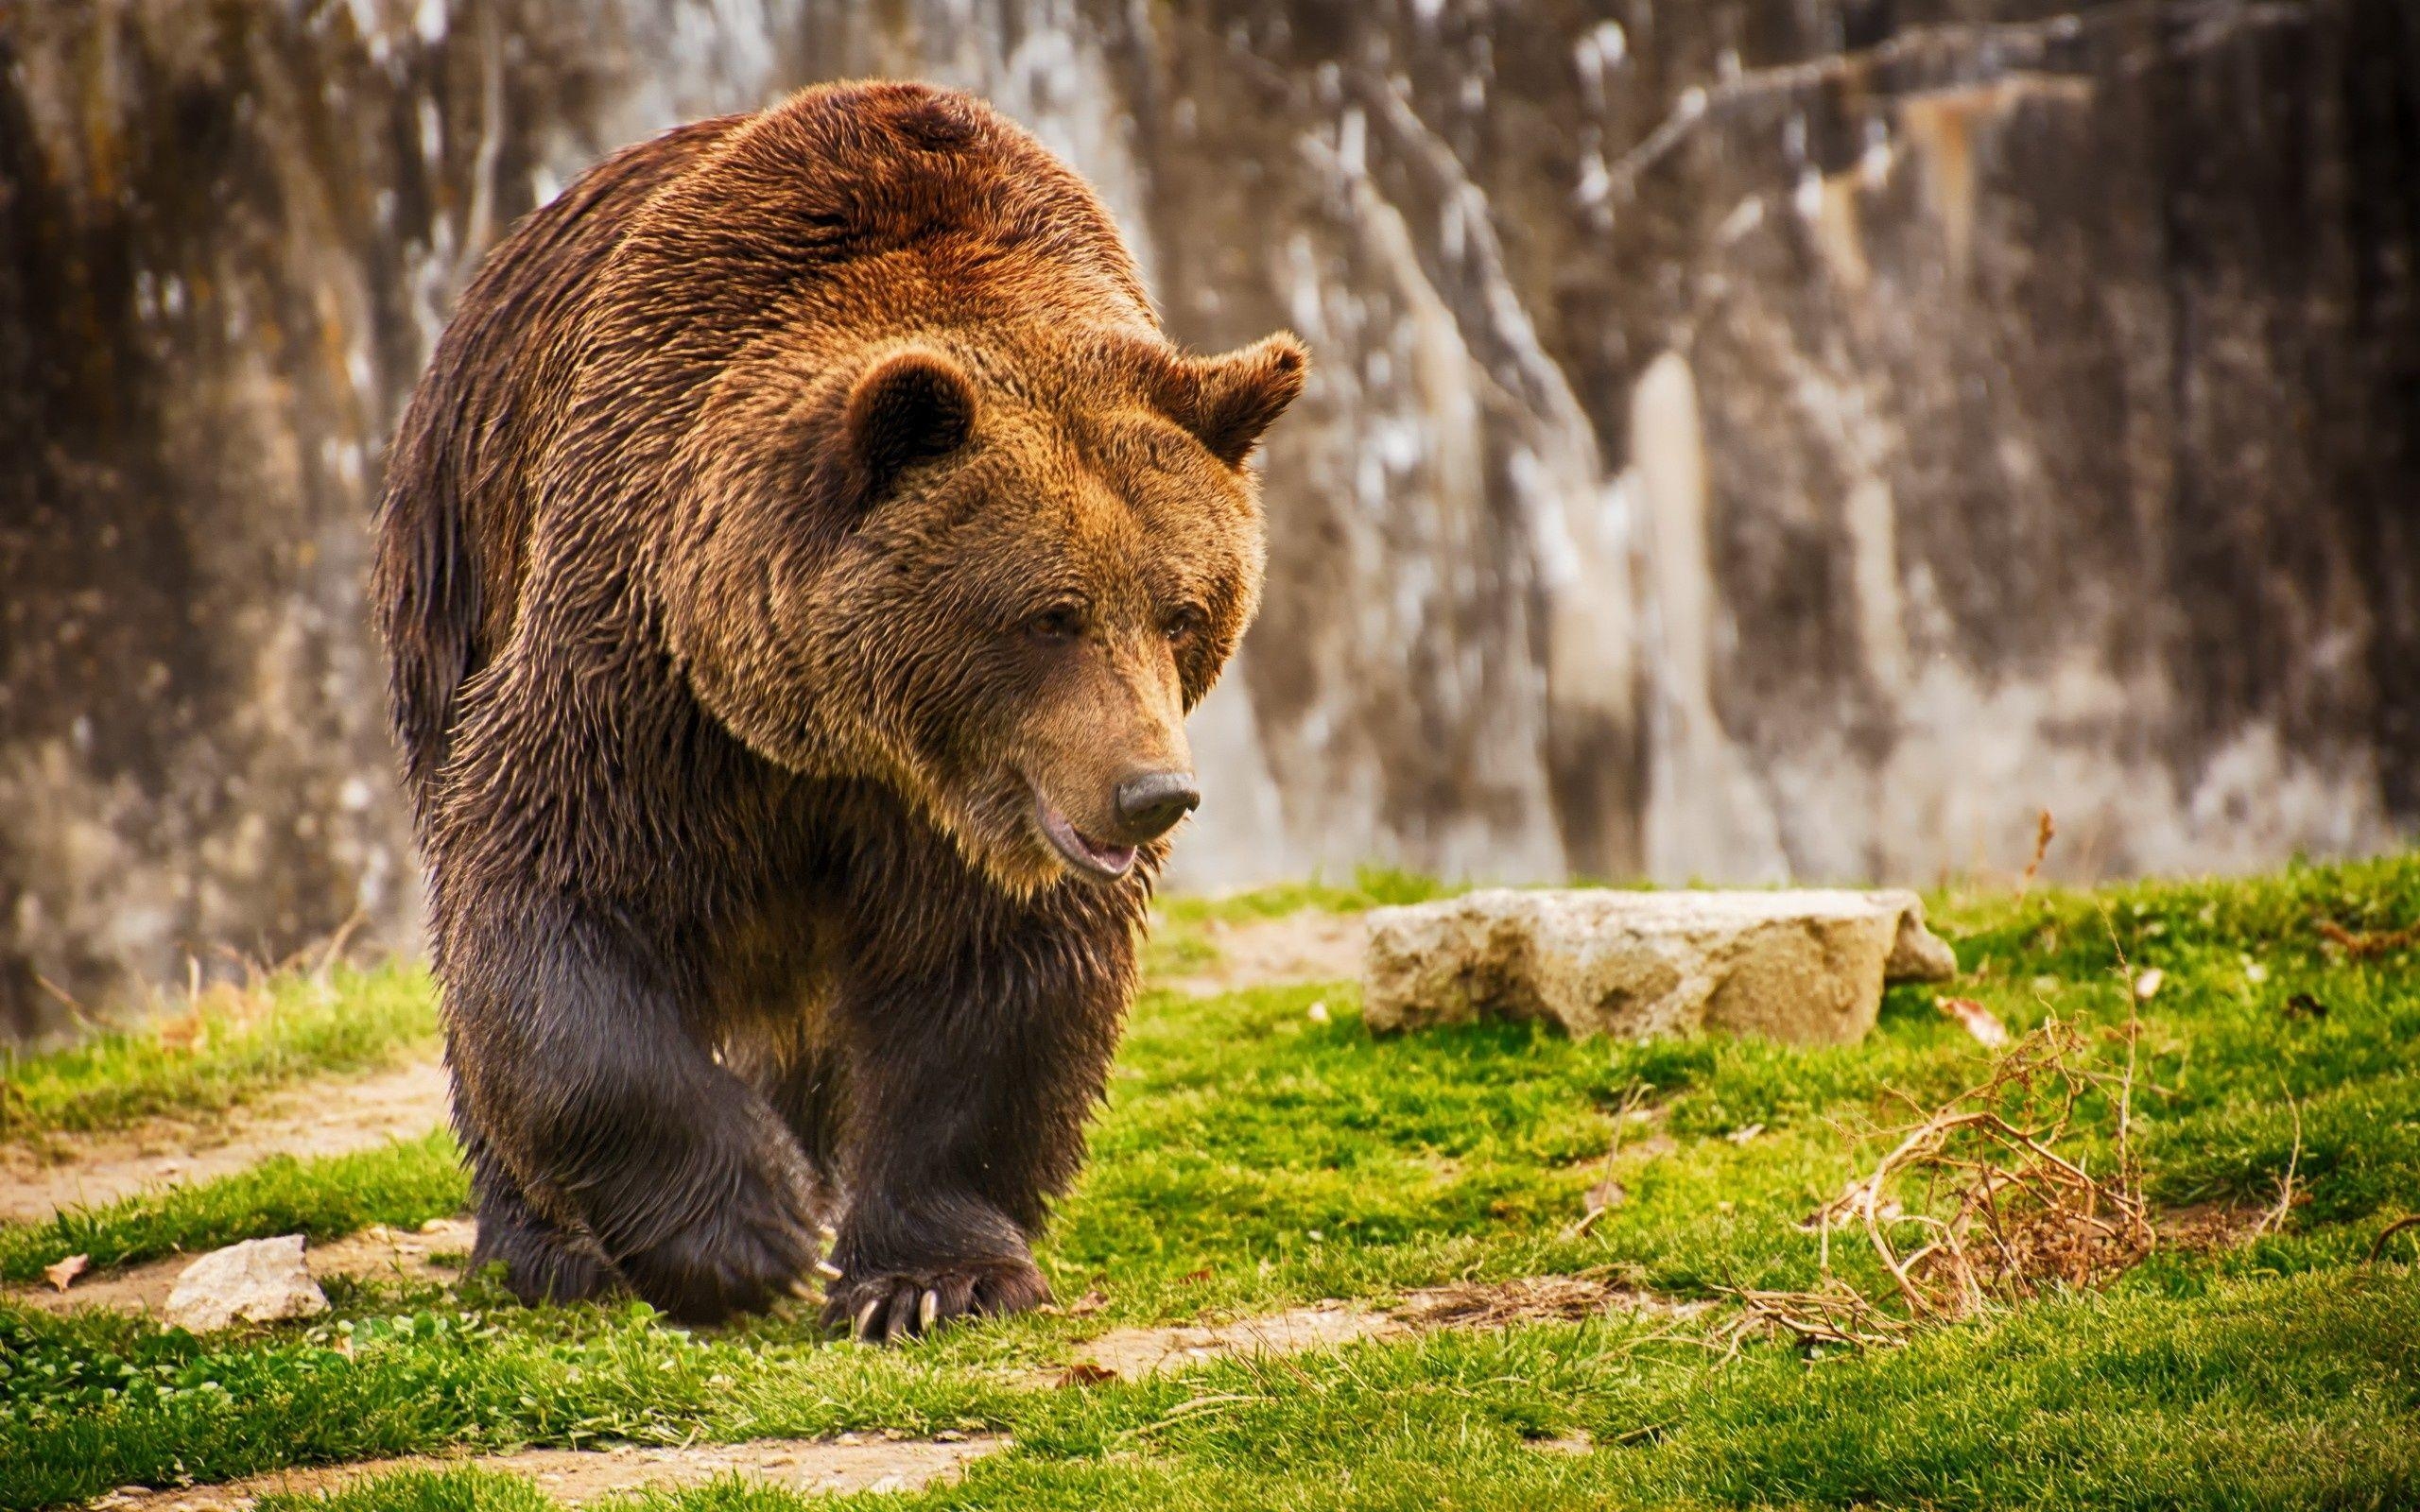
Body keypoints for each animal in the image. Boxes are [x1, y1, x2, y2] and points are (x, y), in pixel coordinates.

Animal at [370, 85, 1306, 1335]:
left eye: (1183, 609)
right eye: (1051, 614)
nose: (1153, 792)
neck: (835, 735)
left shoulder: (973, 814)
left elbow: (991, 983)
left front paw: (928, 1279)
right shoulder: (639, 667)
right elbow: (550, 903)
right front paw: (742, 1231)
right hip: (458, 558)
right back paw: (548, 1246)